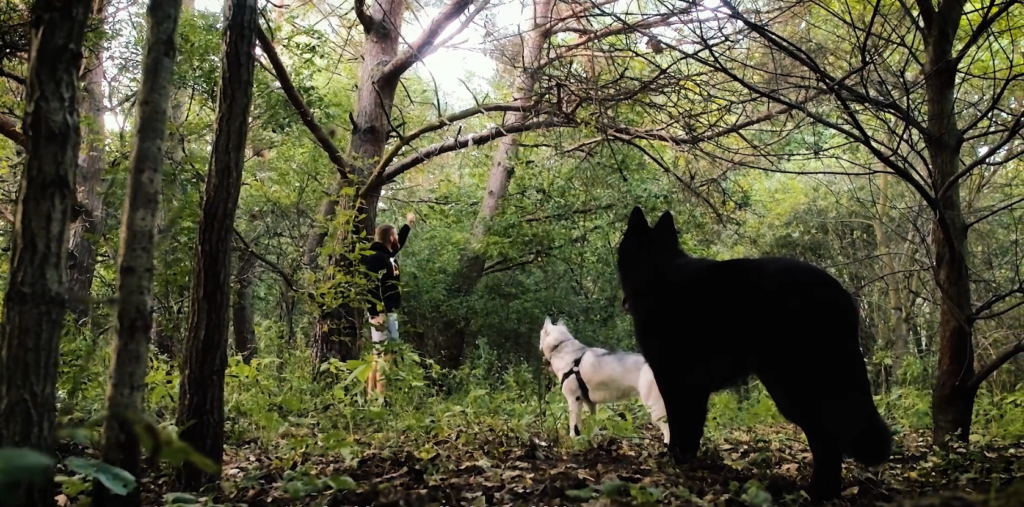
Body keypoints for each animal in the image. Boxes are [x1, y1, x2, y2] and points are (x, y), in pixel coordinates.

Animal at [536, 317, 671, 444]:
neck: (561, 346)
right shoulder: (590, 403)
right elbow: (592, 424)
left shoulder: (574, 400)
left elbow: (573, 427)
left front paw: (573, 440)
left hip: (655, 408)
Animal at [614, 207, 888, 501]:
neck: (656, 271)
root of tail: (843, 297)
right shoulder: (695, 387)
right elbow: (693, 427)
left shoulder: (674, 380)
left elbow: (679, 423)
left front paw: (675, 459)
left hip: (792, 387)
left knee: (825, 438)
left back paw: (817, 491)